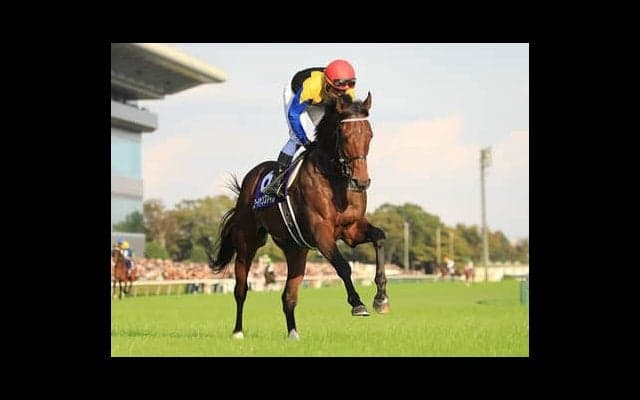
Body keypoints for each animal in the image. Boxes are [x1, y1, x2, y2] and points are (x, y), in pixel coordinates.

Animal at [208, 93, 390, 340]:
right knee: (241, 289)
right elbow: (343, 266)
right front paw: (357, 303)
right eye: (344, 136)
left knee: (288, 296)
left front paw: (381, 298)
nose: (361, 182)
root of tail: (248, 181)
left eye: (369, 134)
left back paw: (293, 333)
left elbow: (379, 237)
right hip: (247, 242)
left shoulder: (351, 229)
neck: (335, 180)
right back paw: (237, 332)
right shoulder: (321, 232)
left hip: (295, 249)